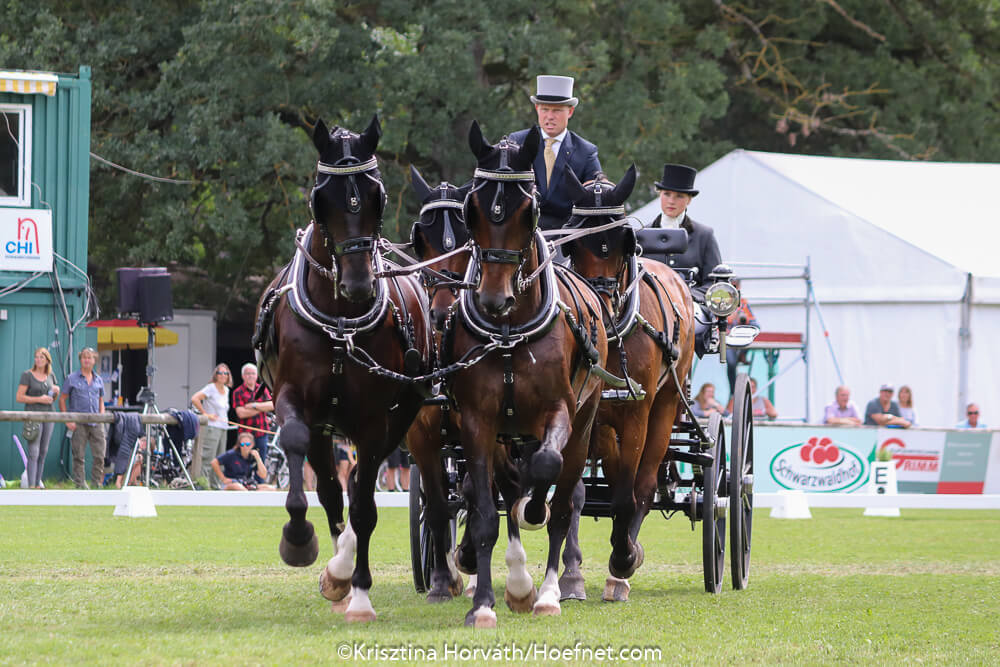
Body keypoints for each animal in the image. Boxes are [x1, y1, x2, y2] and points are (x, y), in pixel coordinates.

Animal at [253, 116, 432, 622]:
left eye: (376, 195)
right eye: (323, 196)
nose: (358, 285)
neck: (339, 322)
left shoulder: (373, 420)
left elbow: (366, 505)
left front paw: (360, 591)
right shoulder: (296, 403)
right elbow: (312, 469)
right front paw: (300, 540)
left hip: (402, 414)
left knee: (357, 489)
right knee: (335, 489)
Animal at [443, 122, 609, 627]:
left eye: (528, 209)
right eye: (471, 208)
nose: (494, 299)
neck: (509, 331)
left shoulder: (560, 412)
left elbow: (548, 473)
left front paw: (535, 511)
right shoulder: (477, 422)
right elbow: (482, 512)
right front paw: (482, 604)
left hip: (584, 424)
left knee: (563, 498)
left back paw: (551, 590)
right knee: (504, 488)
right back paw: (516, 582)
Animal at [560, 167, 696, 602]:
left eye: (623, 243)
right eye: (575, 242)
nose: (599, 307)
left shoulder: (635, 413)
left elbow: (624, 495)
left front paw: (623, 560)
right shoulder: (588, 416)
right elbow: (575, 493)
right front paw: (571, 575)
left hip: (665, 405)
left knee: (646, 482)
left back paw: (624, 563)